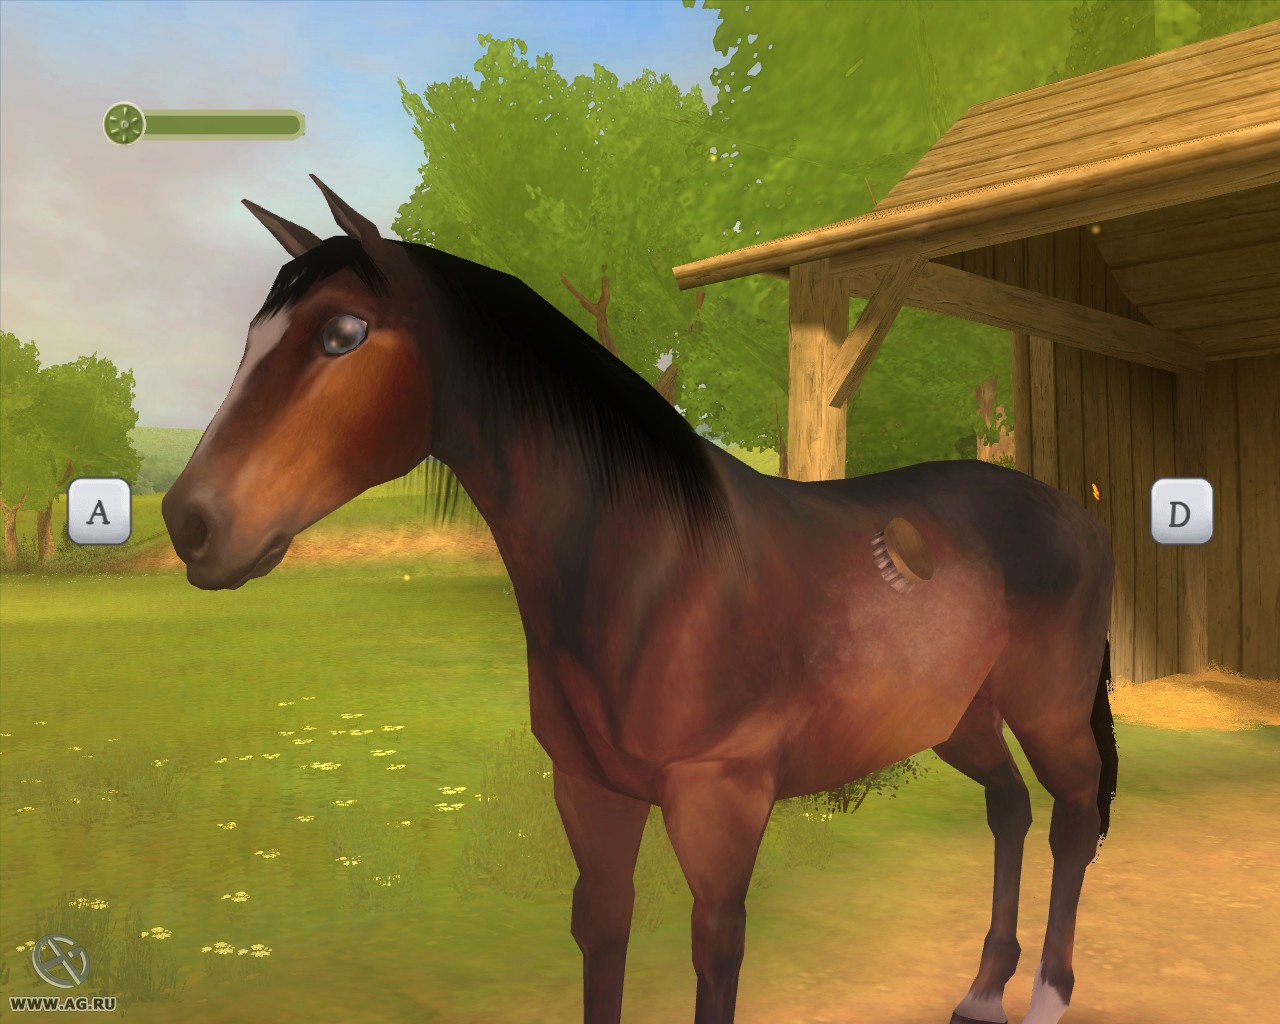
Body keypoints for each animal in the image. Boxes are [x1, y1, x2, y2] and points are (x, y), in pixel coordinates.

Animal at [162, 176, 1117, 1024]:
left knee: (1072, 816)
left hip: (1046, 708)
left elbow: (715, 954)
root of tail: (1072, 511)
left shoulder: (721, 803)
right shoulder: (592, 795)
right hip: (961, 716)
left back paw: (1047, 996)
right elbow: (604, 935)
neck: (654, 573)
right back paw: (984, 990)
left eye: (343, 333)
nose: (188, 522)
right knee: (1009, 808)